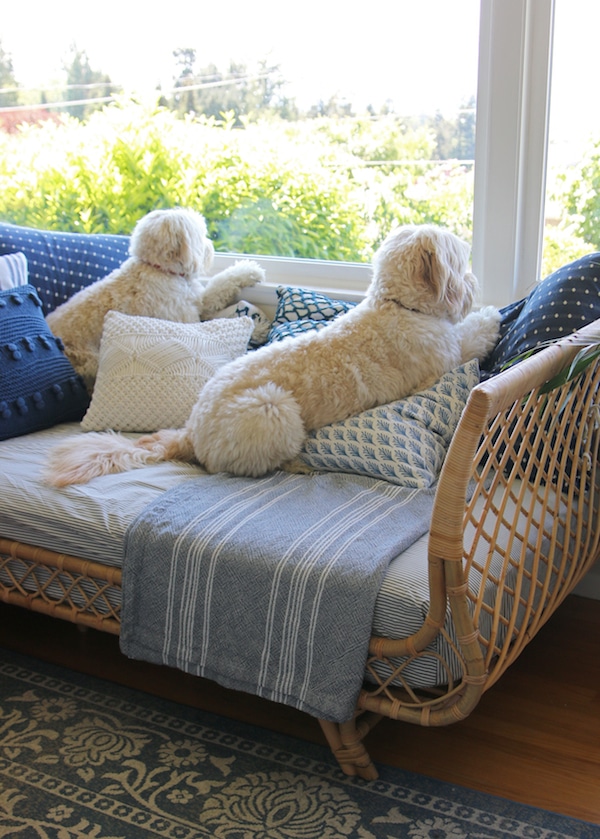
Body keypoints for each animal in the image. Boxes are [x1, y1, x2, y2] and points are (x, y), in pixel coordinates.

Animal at [44, 210, 264, 394]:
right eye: (201, 235)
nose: (210, 248)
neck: (158, 269)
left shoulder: (196, 303)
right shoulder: (185, 317)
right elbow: (219, 287)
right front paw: (249, 270)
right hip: (88, 359)